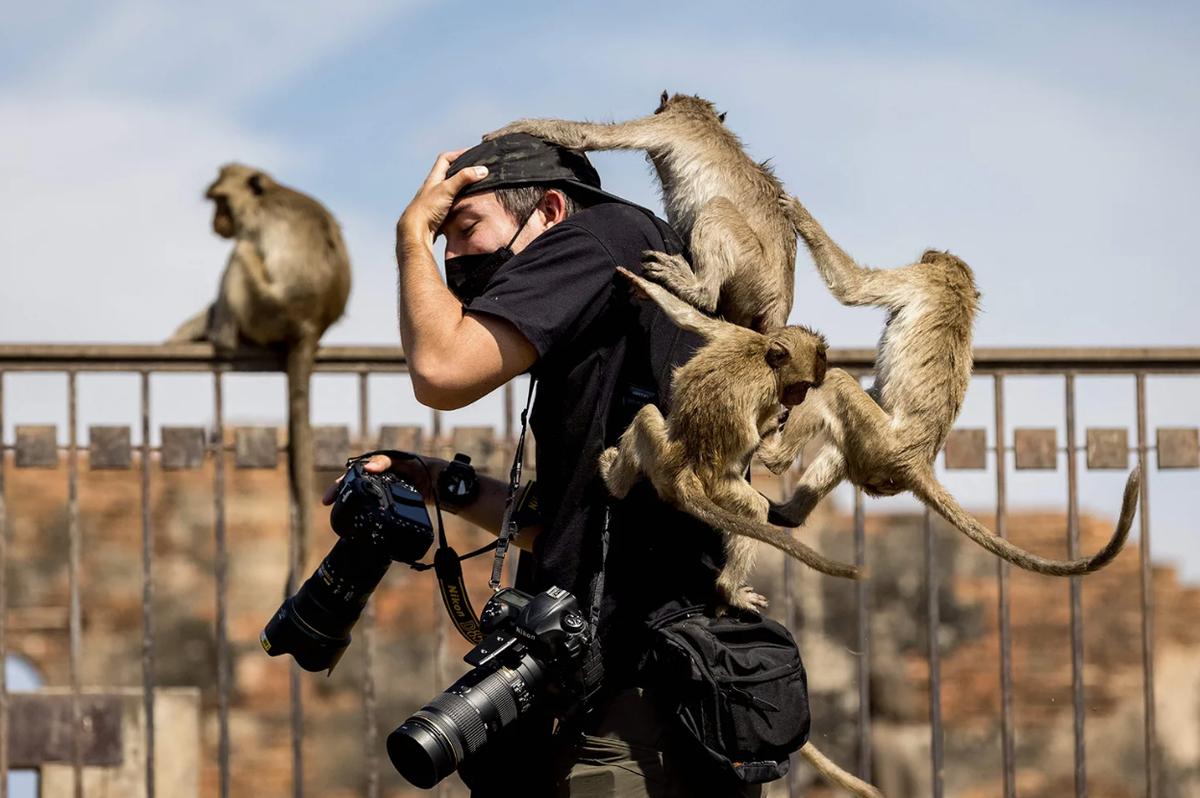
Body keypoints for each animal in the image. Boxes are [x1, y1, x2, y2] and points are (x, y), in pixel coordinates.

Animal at [171, 164, 352, 590]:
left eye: (221, 201)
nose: (216, 222)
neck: (265, 195)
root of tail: (310, 326)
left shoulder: (254, 227)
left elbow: (242, 250)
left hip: (266, 308)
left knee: (239, 254)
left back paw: (220, 336)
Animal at [482, 91, 801, 333]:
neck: (702, 118)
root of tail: (780, 301)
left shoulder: (670, 124)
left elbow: (592, 137)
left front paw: (510, 128)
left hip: (752, 270)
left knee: (718, 208)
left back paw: (698, 289)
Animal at [753, 195, 1137, 576]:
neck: (958, 287)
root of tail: (917, 461)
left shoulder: (919, 278)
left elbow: (853, 288)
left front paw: (798, 212)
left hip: (880, 443)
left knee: (835, 383)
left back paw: (774, 457)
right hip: (875, 453)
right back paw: (787, 515)